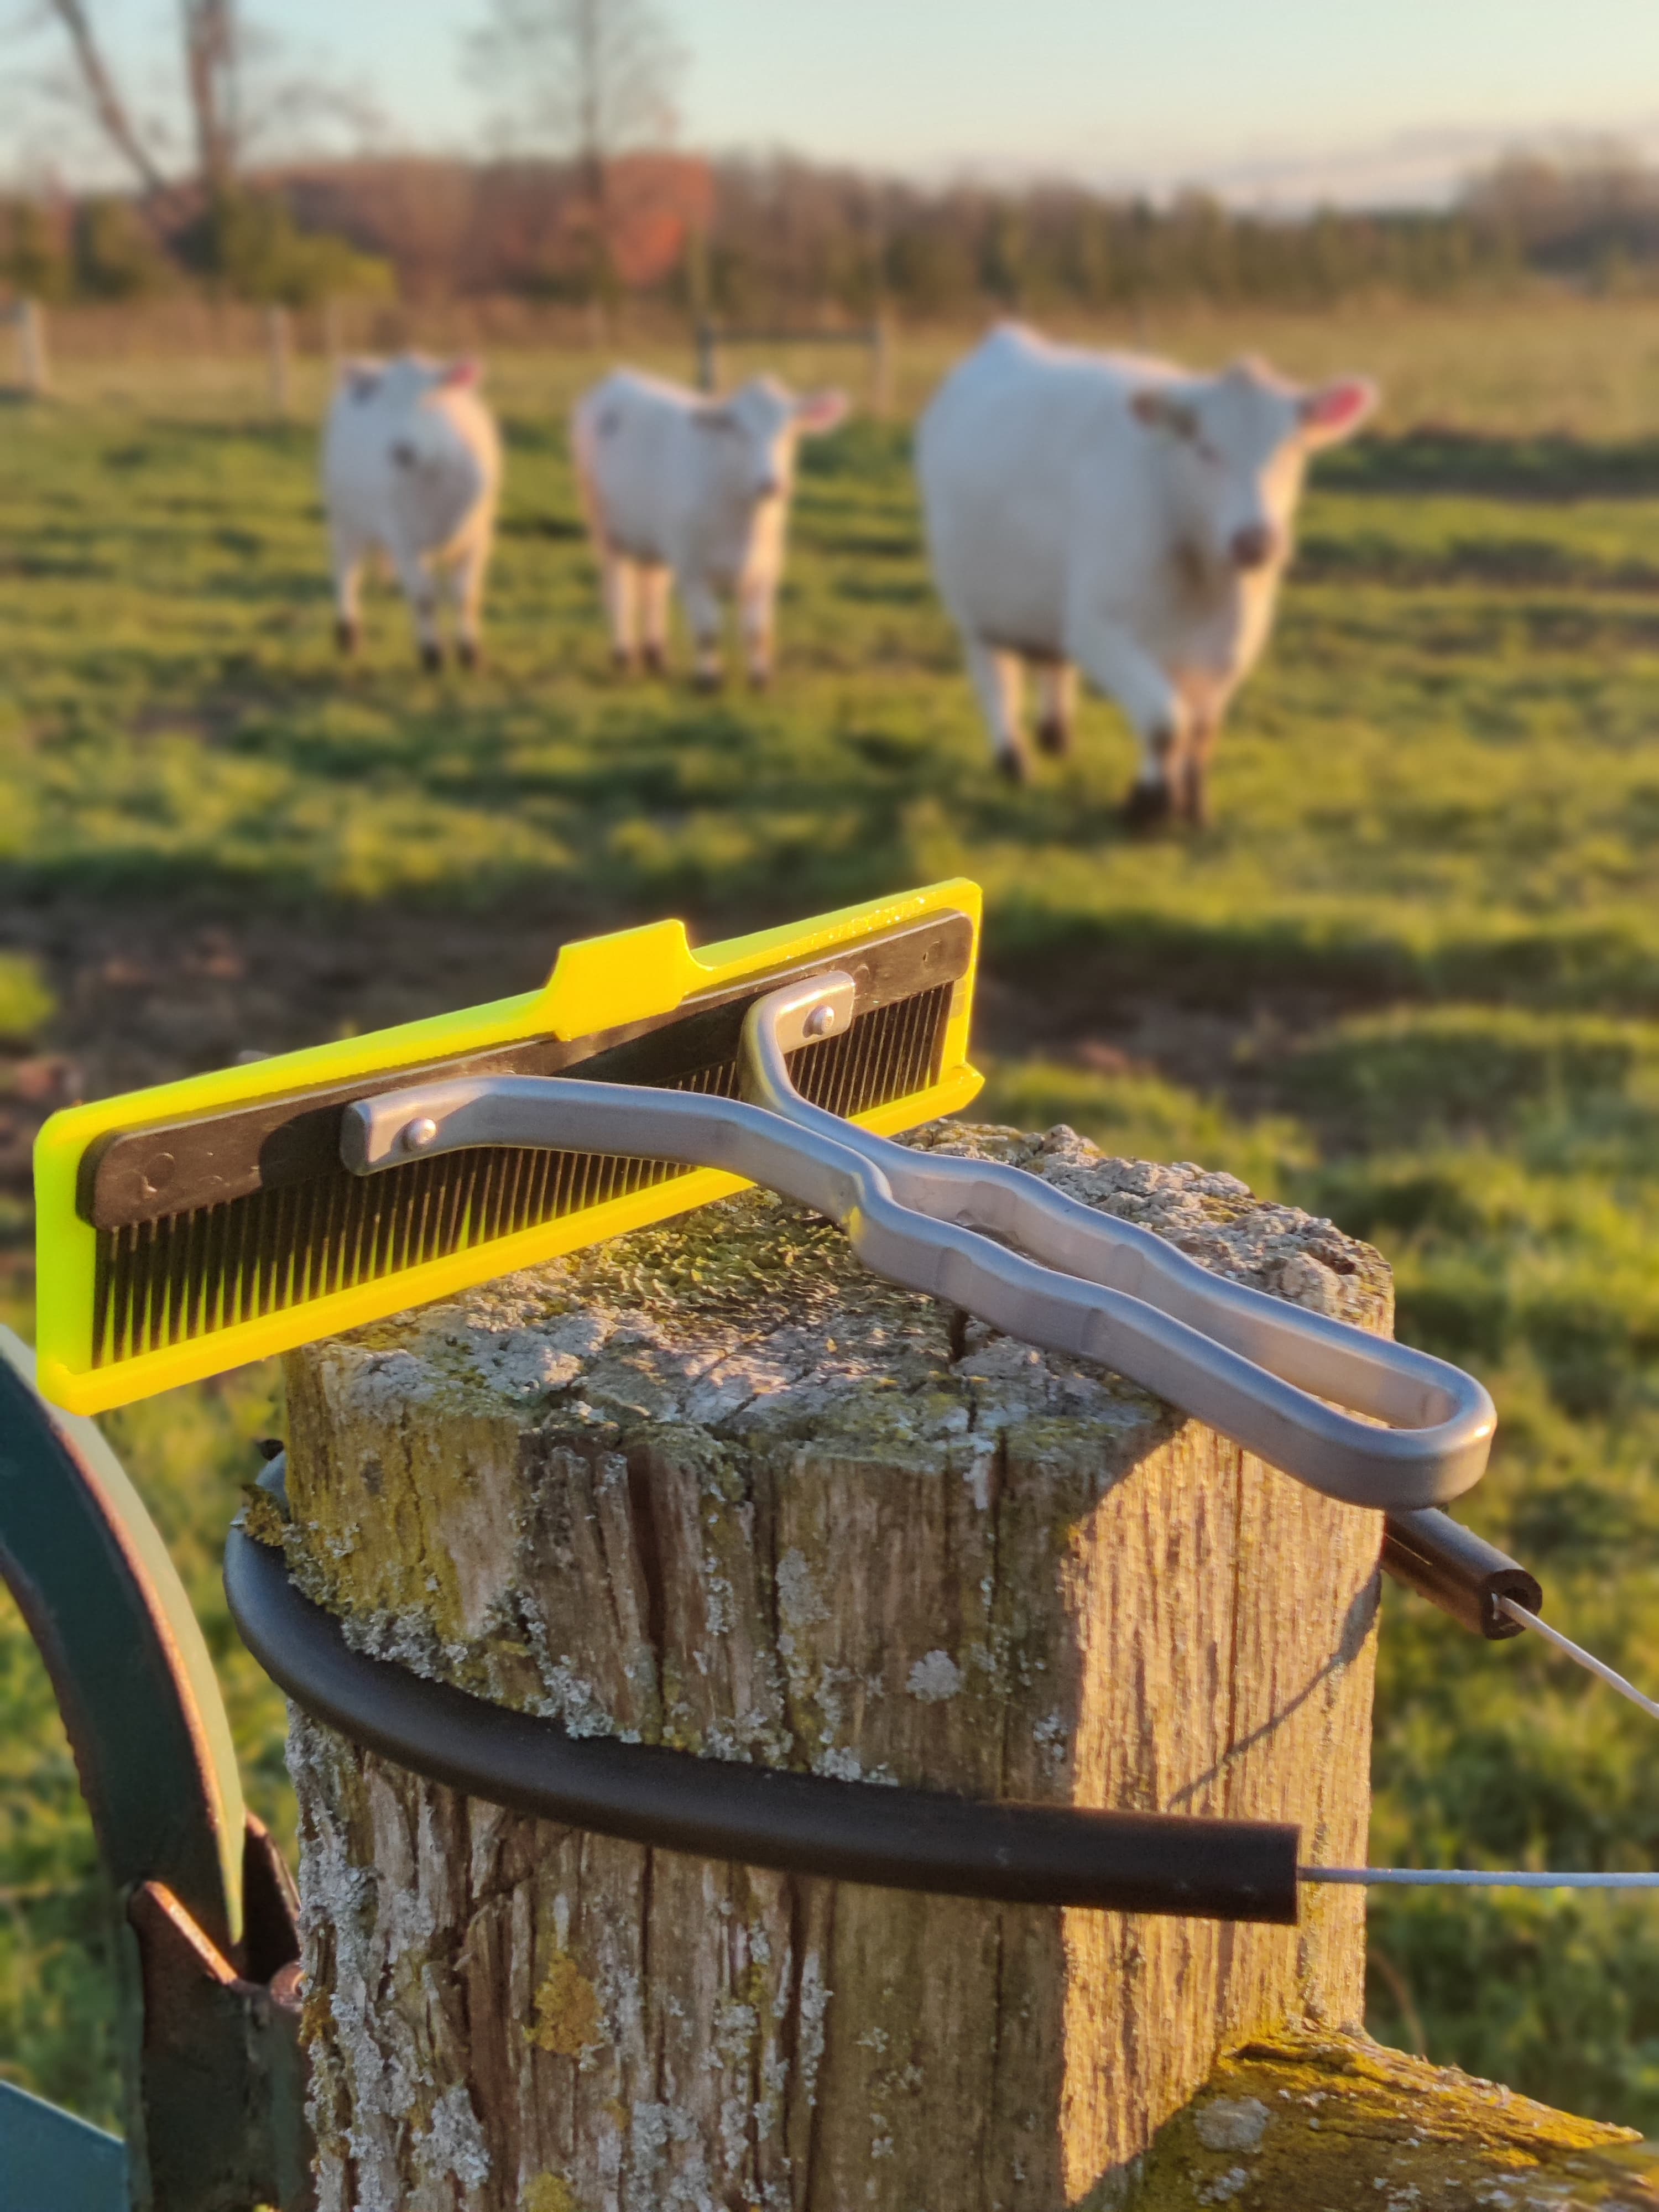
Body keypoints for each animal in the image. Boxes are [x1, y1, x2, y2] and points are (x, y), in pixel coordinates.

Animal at [322, 354, 502, 672]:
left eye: (433, 398)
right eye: (384, 404)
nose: (401, 450)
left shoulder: (478, 536)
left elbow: (466, 596)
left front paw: (471, 654)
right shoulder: (405, 537)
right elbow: (424, 598)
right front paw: (432, 655)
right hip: (346, 515)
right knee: (348, 571)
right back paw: (348, 634)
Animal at [572, 369, 849, 688]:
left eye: (790, 431)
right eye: (739, 430)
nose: (771, 484)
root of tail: (618, 377)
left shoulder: (767, 567)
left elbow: (757, 629)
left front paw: (761, 678)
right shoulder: (692, 567)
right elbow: (708, 627)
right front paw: (708, 679)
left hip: (655, 535)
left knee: (653, 586)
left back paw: (656, 655)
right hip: (605, 527)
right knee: (618, 589)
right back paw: (623, 655)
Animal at [916, 324, 1376, 825]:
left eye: (1293, 449)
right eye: (1205, 449)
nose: (1255, 541)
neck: (1204, 581)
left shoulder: (1231, 647)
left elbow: (1201, 731)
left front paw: (1193, 805)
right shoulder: (1098, 629)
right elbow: (1164, 721)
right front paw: (1149, 804)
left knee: (1052, 662)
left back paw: (1056, 733)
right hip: (974, 605)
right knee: (996, 679)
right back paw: (1013, 760)